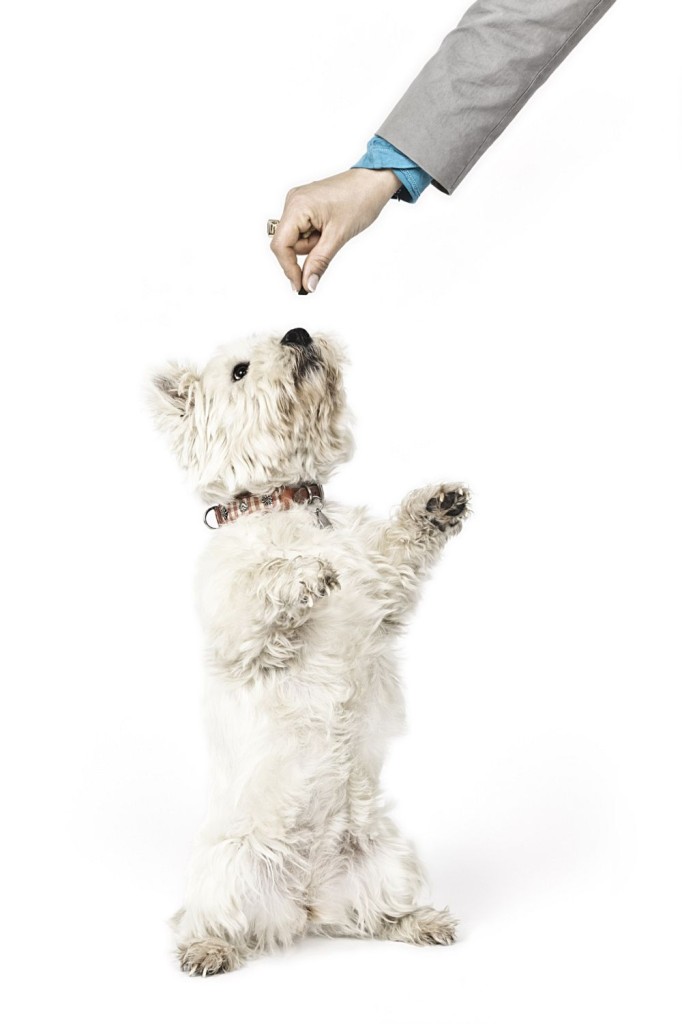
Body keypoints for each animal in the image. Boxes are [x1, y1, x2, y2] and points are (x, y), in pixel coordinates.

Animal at [150, 327, 466, 974]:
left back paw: (420, 922)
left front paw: (437, 503)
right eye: (239, 371)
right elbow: (262, 582)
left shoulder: (382, 583)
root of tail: (303, 902)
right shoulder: (236, 630)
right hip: (227, 866)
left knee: (375, 916)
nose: (298, 332)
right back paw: (207, 950)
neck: (287, 500)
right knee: (203, 919)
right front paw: (304, 570)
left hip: (390, 855)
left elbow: (399, 546)